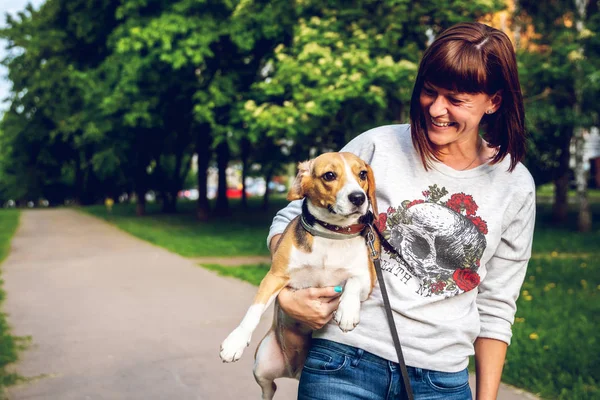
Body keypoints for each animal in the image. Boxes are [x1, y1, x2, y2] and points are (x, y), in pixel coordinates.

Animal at [219, 152, 380, 398]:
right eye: (329, 175)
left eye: (362, 174)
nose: (358, 198)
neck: (331, 234)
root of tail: (293, 371)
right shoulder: (275, 276)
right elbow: (253, 311)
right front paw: (235, 342)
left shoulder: (367, 280)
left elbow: (352, 282)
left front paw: (347, 313)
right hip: (261, 364)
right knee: (270, 388)